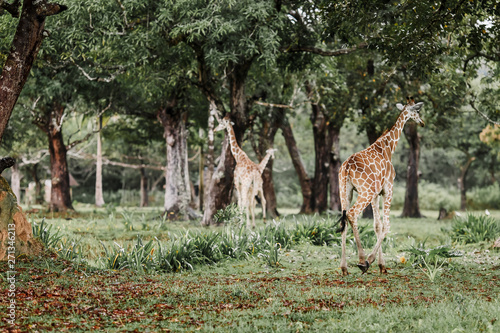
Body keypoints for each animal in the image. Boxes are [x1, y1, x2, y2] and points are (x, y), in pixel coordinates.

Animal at [338, 96, 424, 274]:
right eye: (417, 111)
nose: (422, 123)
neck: (388, 147)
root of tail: (347, 166)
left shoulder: (376, 194)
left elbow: (377, 226)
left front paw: (381, 265)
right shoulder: (387, 189)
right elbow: (386, 225)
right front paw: (372, 262)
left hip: (345, 191)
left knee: (344, 219)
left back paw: (344, 268)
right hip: (365, 191)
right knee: (352, 214)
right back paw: (362, 260)